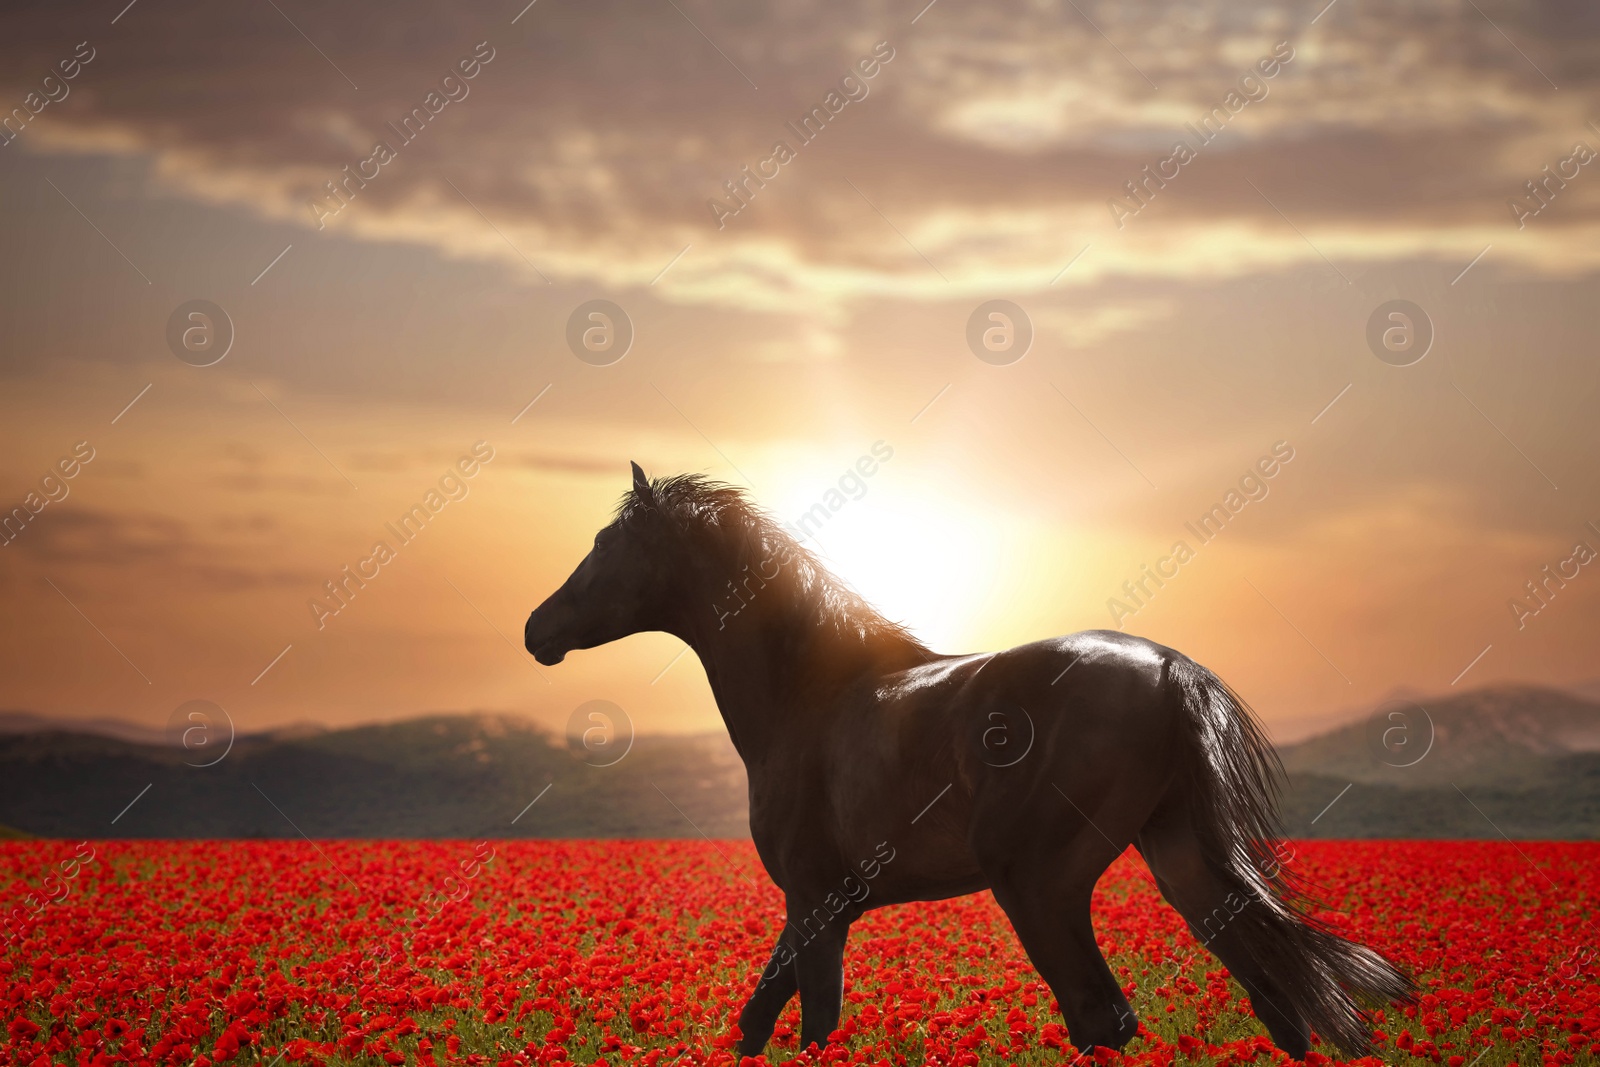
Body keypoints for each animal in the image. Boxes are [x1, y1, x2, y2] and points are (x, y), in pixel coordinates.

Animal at [524, 467, 1414, 1062]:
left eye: (606, 544)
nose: (536, 629)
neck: (809, 696)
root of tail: (1169, 671)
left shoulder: (815, 901)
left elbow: (812, 1024)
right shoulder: (823, 905)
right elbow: (757, 1020)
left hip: (1041, 884)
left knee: (1102, 1017)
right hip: (1185, 867)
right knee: (1278, 1004)